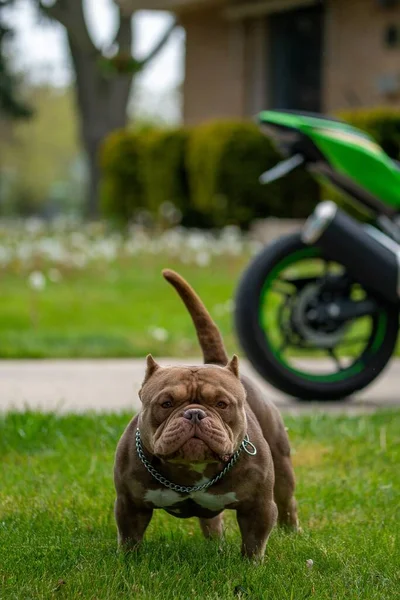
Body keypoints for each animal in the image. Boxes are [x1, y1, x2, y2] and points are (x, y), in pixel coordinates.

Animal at [113, 270, 296, 560]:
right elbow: (130, 537)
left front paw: (251, 566)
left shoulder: (258, 506)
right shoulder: (130, 504)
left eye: (221, 404)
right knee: (211, 519)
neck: (191, 472)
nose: (195, 414)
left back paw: (292, 532)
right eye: (166, 403)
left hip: (282, 460)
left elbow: (254, 542)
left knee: (287, 498)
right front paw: (128, 561)